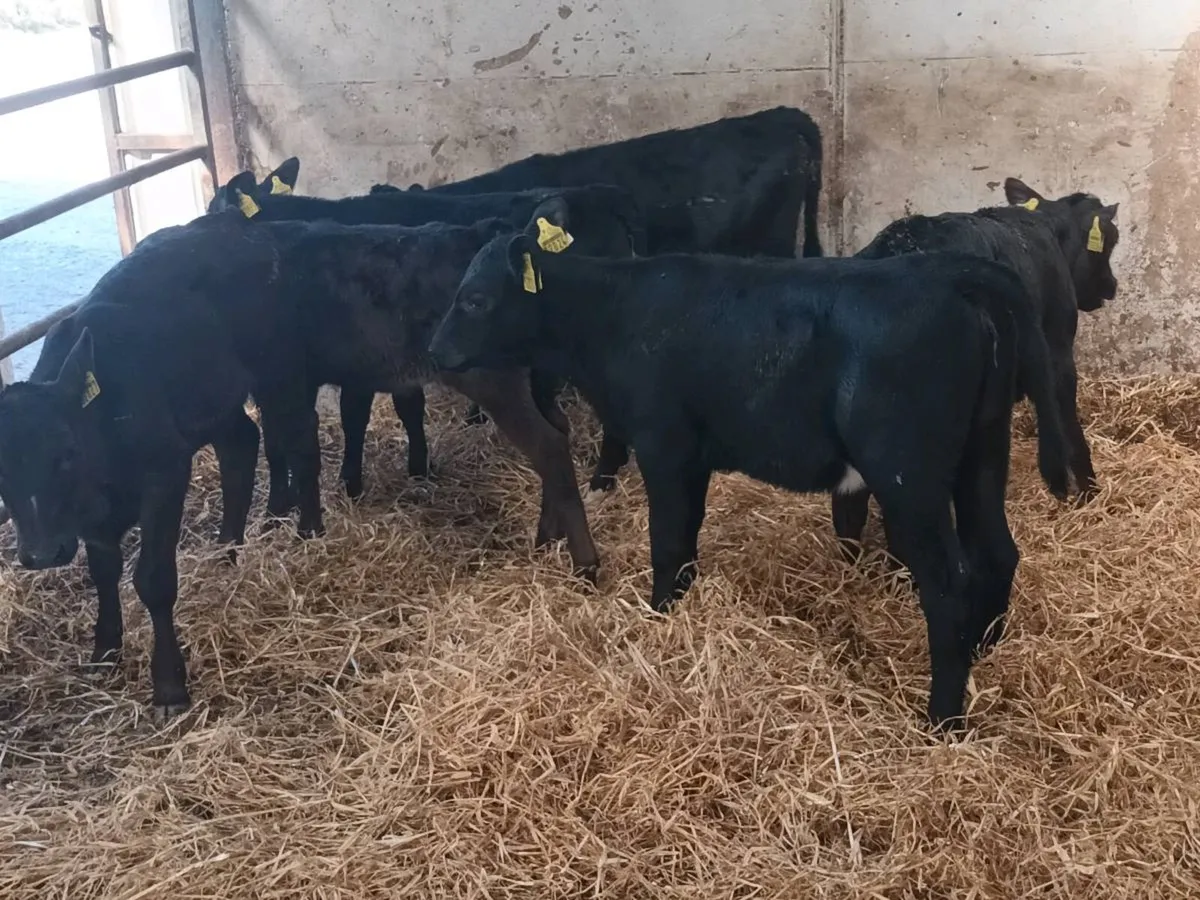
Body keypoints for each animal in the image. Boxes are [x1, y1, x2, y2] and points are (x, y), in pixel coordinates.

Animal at [209, 163, 645, 496]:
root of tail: (599, 197)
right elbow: (408, 407)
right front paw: (418, 466)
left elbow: (355, 415)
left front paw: (352, 481)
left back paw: (603, 477)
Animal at [427, 227, 1070, 730]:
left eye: (475, 299)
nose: (435, 352)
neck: (615, 312)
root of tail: (949, 275)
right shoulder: (693, 457)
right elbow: (686, 542)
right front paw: (678, 613)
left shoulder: (664, 444)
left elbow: (667, 542)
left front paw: (657, 616)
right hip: (982, 452)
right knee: (997, 552)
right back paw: (983, 649)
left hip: (909, 473)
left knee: (948, 582)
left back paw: (942, 718)